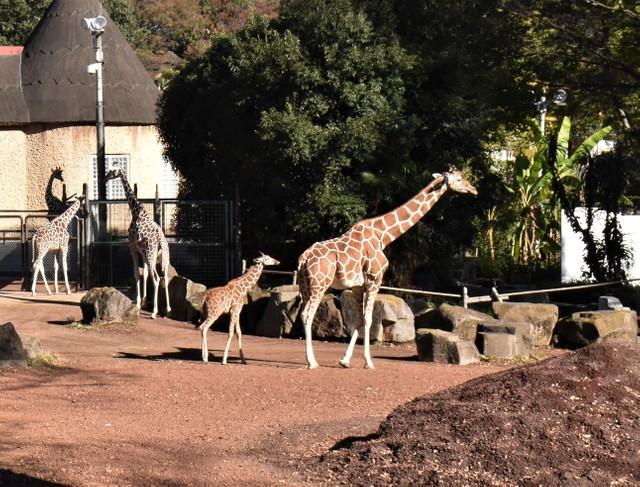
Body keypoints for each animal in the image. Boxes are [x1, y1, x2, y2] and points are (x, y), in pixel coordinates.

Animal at [105, 169, 171, 320]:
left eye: (112, 171)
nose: (105, 178)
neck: (135, 211)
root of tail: (161, 241)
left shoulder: (132, 246)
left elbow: (136, 272)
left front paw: (139, 303)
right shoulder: (142, 251)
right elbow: (144, 273)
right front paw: (145, 300)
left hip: (151, 255)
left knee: (157, 279)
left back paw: (154, 312)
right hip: (162, 257)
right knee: (165, 277)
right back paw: (168, 309)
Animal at [298, 168, 478, 370]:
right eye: (459, 179)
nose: (473, 189)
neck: (383, 236)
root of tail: (303, 259)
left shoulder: (358, 284)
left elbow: (359, 319)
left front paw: (345, 360)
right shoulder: (375, 279)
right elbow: (368, 319)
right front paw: (369, 362)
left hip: (305, 286)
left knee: (302, 313)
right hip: (320, 284)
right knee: (308, 314)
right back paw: (312, 362)